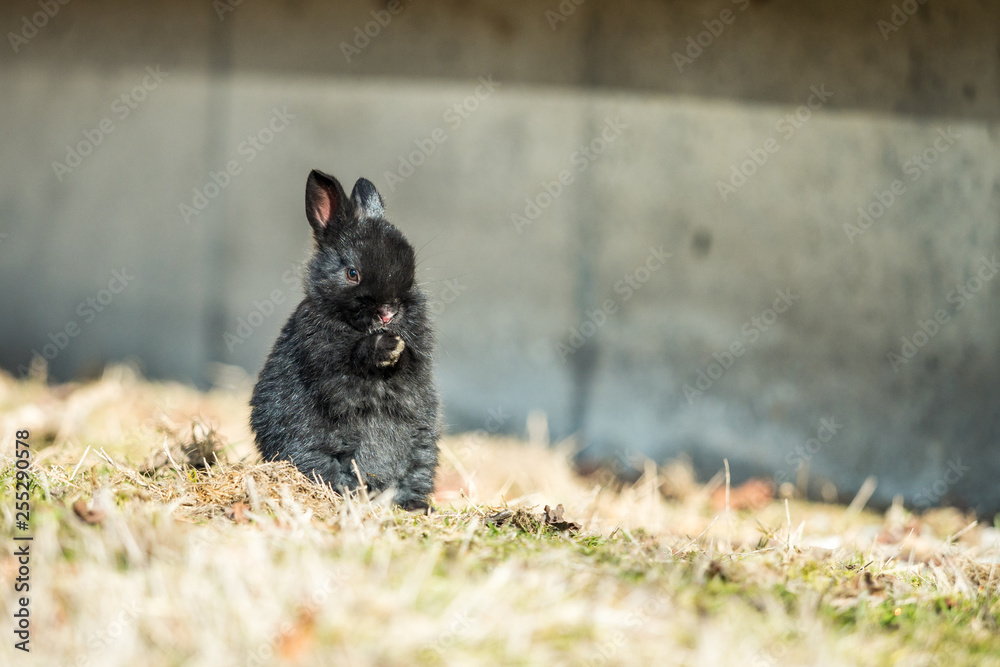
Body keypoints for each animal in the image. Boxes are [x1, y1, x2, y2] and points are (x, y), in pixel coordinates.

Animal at [250, 169, 439, 511]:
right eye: (352, 273)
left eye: (411, 274)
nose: (388, 313)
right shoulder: (324, 360)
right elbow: (348, 371)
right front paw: (386, 347)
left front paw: (396, 348)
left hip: (423, 451)